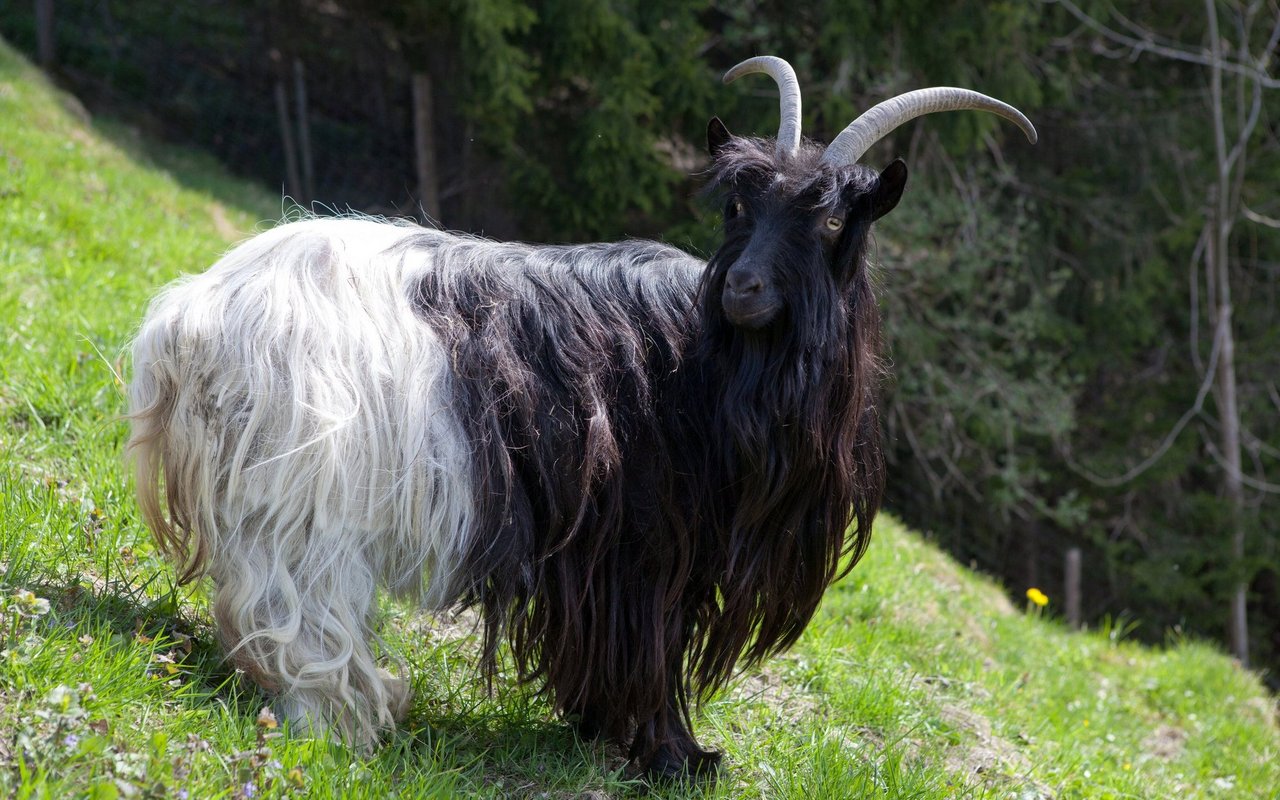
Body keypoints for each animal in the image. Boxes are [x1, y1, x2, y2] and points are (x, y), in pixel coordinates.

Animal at [129, 57, 1034, 778]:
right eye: (737, 209)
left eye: (835, 220)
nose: (744, 288)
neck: (703, 360)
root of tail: (194, 315)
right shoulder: (646, 545)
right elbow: (653, 646)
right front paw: (678, 758)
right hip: (307, 498)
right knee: (297, 612)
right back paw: (346, 717)